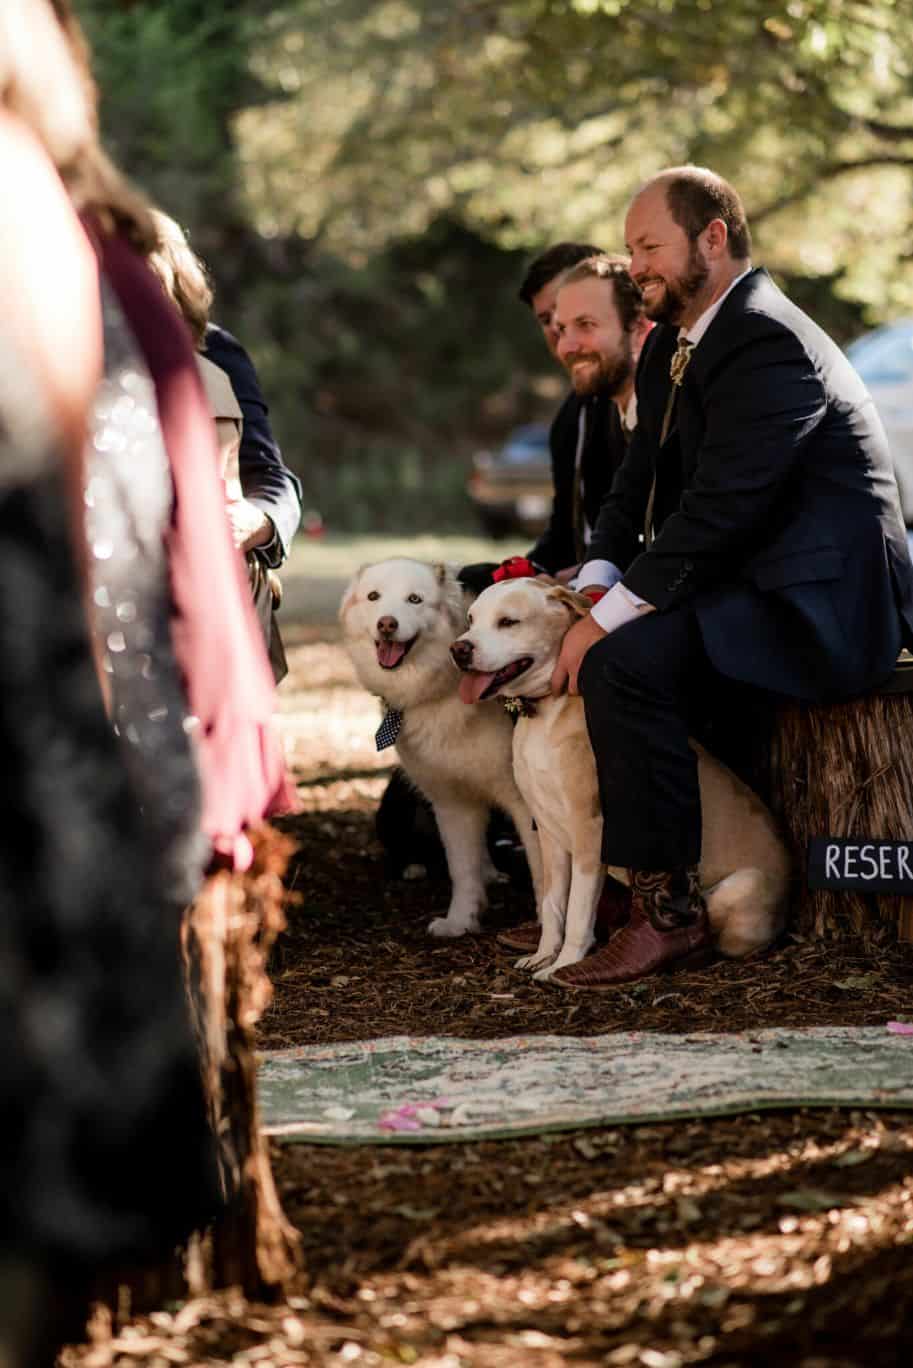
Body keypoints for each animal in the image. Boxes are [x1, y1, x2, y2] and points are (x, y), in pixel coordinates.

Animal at [340, 560, 542, 935]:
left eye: (415, 599)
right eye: (373, 597)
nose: (387, 624)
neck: (443, 687)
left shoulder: (528, 803)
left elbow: (545, 871)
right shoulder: (451, 801)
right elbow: (461, 868)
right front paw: (461, 921)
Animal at [451, 571, 793, 979]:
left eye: (508, 622)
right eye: (471, 619)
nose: (459, 650)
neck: (546, 713)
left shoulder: (589, 832)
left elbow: (578, 911)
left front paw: (564, 965)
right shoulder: (549, 833)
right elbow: (552, 904)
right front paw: (543, 954)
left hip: (735, 889)